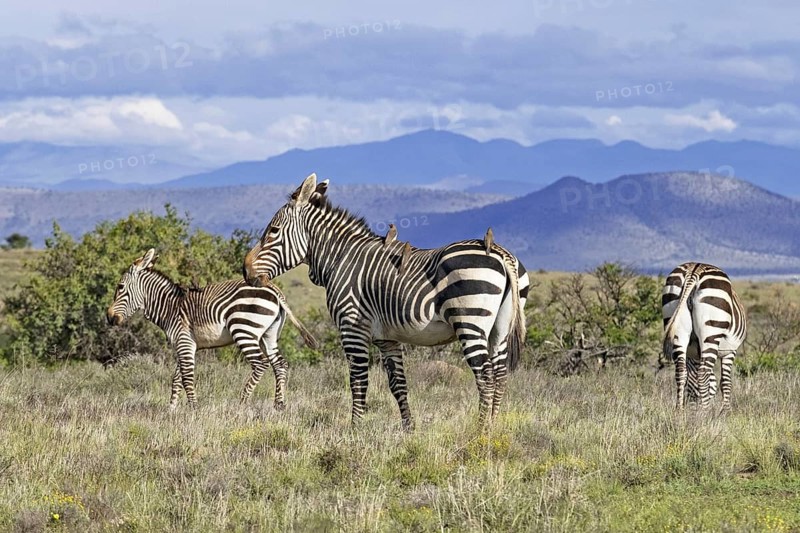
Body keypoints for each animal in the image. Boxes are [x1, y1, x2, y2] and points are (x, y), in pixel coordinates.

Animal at [107, 248, 317, 409]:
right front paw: (171, 409)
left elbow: (187, 378)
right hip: (269, 335)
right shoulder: (186, 345)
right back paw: (278, 405)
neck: (170, 307)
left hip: (244, 330)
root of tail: (273, 288)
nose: (109, 318)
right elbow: (176, 378)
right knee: (280, 365)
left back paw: (242, 403)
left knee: (260, 364)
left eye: (120, 287)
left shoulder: (184, 342)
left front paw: (193, 409)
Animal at [242, 173, 529, 429]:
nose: (245, 270)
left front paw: (354, 429)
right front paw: (408, 429)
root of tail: (498, 252)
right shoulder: (386, 338)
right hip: (499, 329)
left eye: (273, 231)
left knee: (486, 377)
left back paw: (479, 433)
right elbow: (398, 384)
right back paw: (492, 429)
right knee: (500, 375)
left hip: (470, 321)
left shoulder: (353, 328)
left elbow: (358, 380)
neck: (340, 258)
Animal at [662, 262, 746, 411]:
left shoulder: (691, 354)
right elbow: (725, 382)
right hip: (711, 331)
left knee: (680, 371)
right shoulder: (730, 351)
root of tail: (694, 270)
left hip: (677, 327)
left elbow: (691, 381)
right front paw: (725, 411)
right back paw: (705, 412)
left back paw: (679, 410)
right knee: (703, 373)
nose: (692, 406)